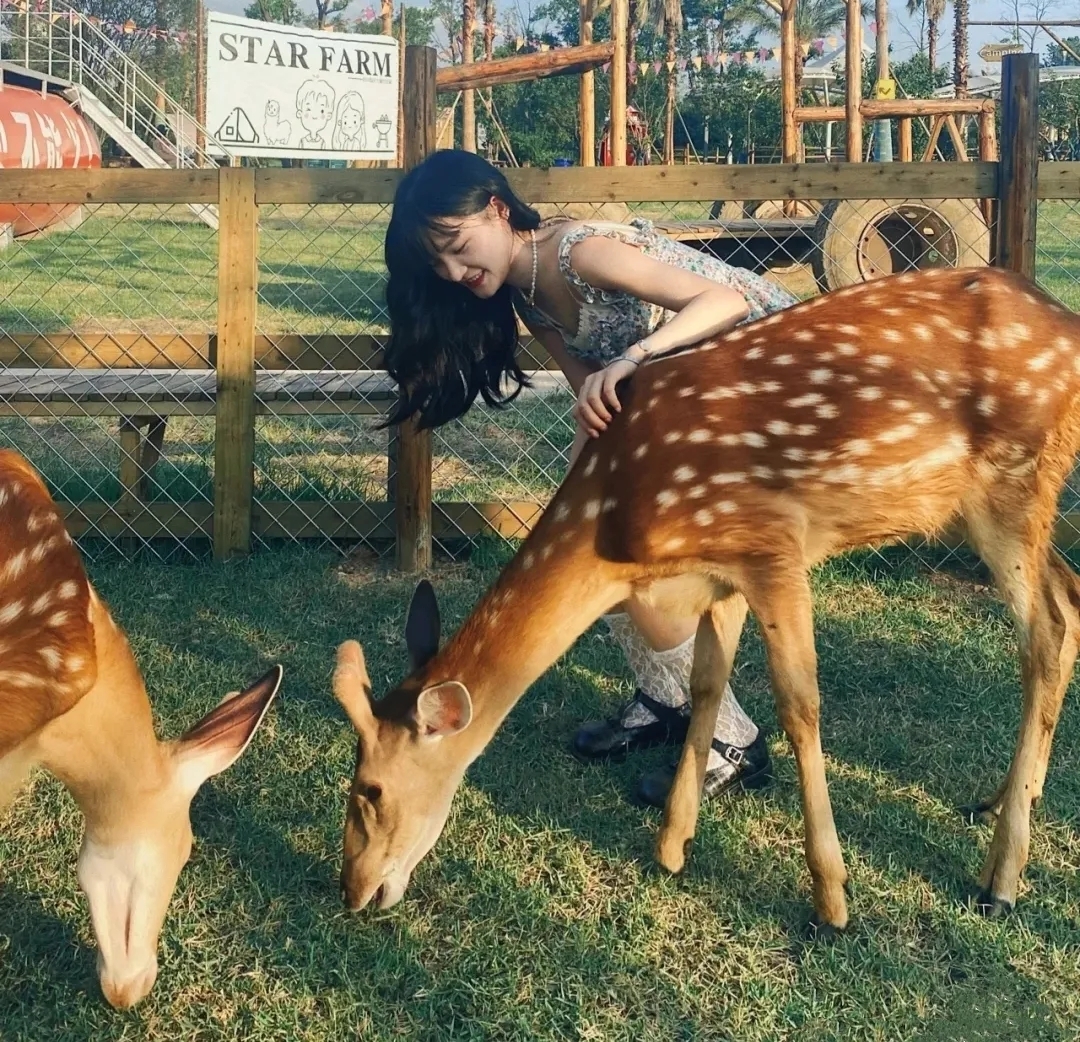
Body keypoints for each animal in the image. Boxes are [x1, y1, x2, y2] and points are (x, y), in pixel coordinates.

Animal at [334, 264, 1080, 932]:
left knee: (1044, 629)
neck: (618, 524)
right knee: (1068, 598)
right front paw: (671, 846)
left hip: (1011, 482)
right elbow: (706, 682)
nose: (353, 890)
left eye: (370, 789)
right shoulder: (721, 571)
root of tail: (1065, 322)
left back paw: (1000, 881)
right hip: (987, 506)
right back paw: (1000, 803)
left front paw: (831, 902)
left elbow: (800, 706)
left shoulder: (771, 542)